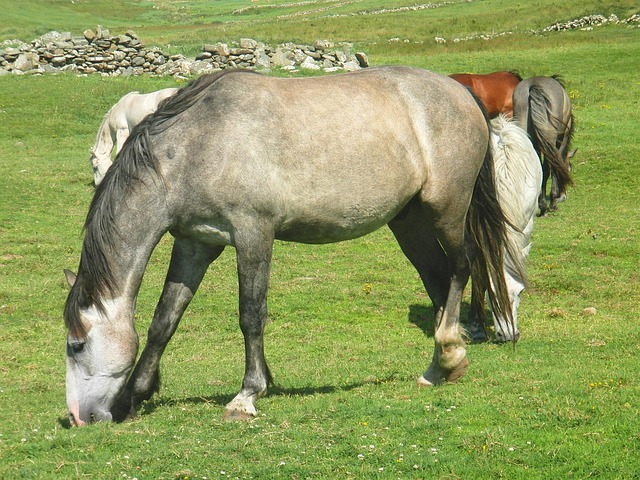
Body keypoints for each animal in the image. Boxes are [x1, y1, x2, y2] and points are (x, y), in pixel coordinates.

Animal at [63, 67, 522, 426]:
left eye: (77, 345)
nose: (78, 417)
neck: (198, 143)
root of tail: (461, 92)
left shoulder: (253, 234)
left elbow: (251, 315)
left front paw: (248, 394)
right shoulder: (196, 243)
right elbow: (164, 320)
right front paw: (136, 396)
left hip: (446, 210)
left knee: (461, 268)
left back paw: (449, 354)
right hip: (409, 223)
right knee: (438, 278)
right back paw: (439, 368)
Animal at [512, 76, 575, 215]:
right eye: (569, 168)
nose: (564, 196)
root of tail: (534, 85)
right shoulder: (561, 142)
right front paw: (553, 201)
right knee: (546, 168)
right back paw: (544, 206)